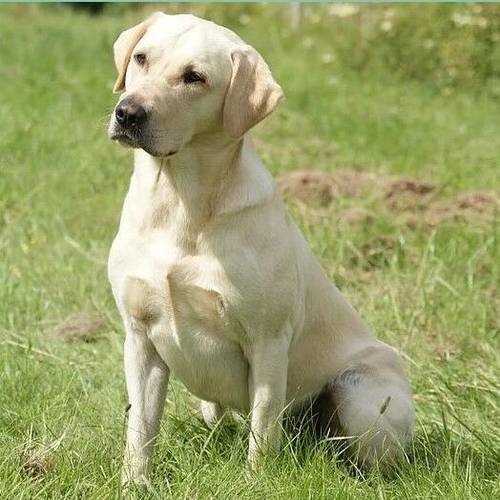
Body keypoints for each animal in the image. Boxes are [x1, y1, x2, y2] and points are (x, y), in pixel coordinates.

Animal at [106, 10, 414, 480]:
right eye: (141, 58)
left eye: (194, 77)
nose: (127, 113)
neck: (181, 202)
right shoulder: (140, 337)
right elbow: (140, 430)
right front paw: (135, 483)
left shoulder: (268, 342)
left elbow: (262, 430)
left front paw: (254, 481)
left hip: (359, 393)